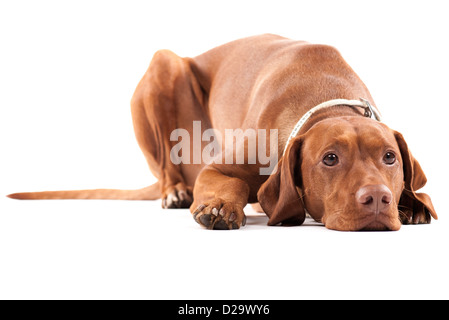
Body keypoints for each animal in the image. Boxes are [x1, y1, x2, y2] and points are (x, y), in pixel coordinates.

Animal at [8, 34, 436, 230]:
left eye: (390, 158)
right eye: (330, 158)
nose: (378, 199)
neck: (329, 98)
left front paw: (414, 202)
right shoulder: (220, 167)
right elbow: (230, 182)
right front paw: (219, 206)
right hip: (165, 67)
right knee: (169, 169)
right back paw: (177, 192)